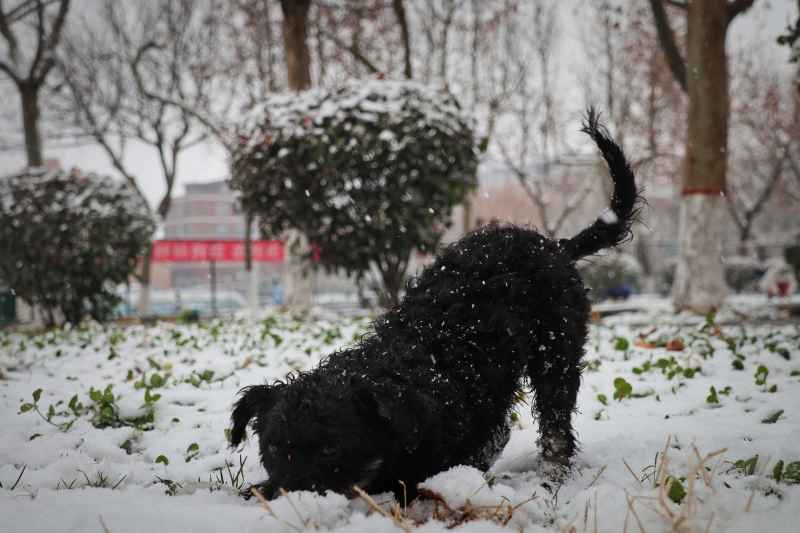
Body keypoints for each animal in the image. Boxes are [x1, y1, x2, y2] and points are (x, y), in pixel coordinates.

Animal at [230, 110, 636, 500]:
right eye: (272, 449)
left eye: (332, 449)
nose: (288, 499)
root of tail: (557, 246)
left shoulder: (474, 435)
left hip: (556, 353)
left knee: (556, 424)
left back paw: (552, 476)